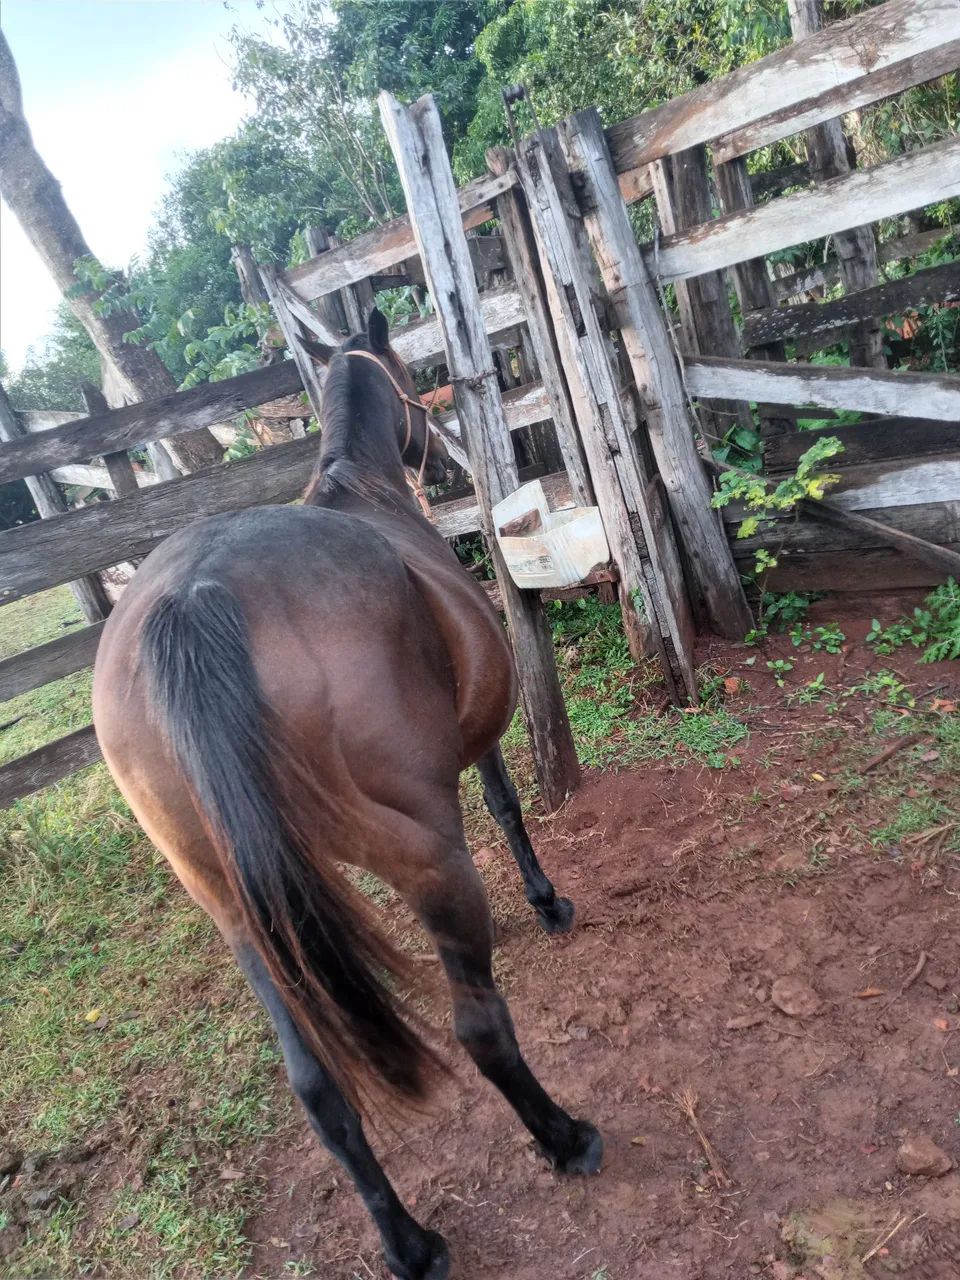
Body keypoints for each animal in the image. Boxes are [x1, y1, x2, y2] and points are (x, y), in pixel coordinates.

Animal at [92, 308, 602, 1280]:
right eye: (413, 384)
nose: (437, 454)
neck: (359, 489)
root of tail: (194, 597)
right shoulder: (475, 748)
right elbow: (508, 808)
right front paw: (548, 901)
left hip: (243, 917)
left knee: (318, 1090)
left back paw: (409, 1242)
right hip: (429, 858)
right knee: (479, 1030)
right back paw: (564, 1137)